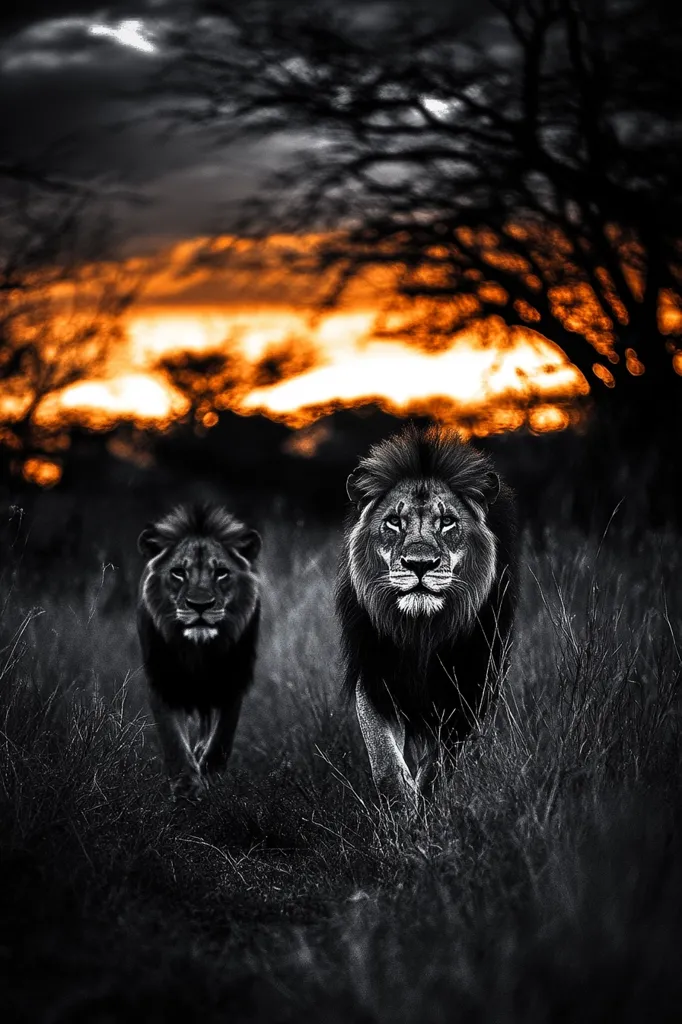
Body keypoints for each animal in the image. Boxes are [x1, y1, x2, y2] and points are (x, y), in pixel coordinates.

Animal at [137, 502, 262, 800]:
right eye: (178, 572)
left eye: (221, 572)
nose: (200, 605)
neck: (198, 651)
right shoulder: (162, 681)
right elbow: (173, 738)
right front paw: (186, 787)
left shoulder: (233, 680)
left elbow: (223, 735)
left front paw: (211, 775)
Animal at [336, 424, 517, 808]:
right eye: (394, 522)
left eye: (447, 522)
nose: (419, 564)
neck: (422, 631)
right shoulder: (378, 678)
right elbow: (385, 762)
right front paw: (402, 807)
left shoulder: (467, 690)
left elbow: (439, 766)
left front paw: (426, 806)